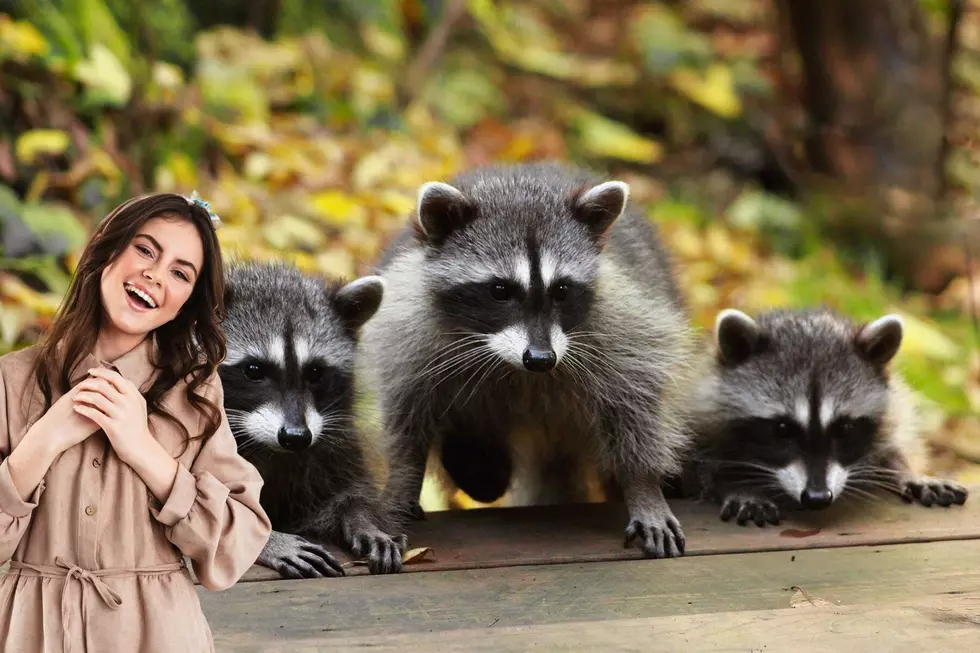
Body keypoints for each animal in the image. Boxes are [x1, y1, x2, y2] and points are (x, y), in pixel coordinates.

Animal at [218, 261, 407, 578]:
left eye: (316, 372)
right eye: (253, 370)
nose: (296, 437)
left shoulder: (333, 445)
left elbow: (347, 493)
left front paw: (363, 519)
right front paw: (272, 540)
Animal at [359, 162, 700, 558]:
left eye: (562, 290)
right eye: (499, 290)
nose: (541, 359)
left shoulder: (624, 326)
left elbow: (636, 403)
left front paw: (643, 486)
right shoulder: (407, 330)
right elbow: (407, 418)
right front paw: (403, 480)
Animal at [686, 307, 968, 526]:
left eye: (844, 429)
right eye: (782, 429)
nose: (817, 498)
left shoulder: (893, 408)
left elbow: (894, 442)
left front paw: (907, 470)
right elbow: (704, 467)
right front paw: (739, 485)